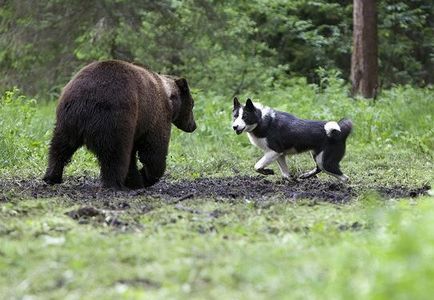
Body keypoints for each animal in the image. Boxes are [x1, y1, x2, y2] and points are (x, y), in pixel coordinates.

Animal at [42, 59, 197, 190]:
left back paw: (52, 176)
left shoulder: (138, 126)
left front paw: (136, 180)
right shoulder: (155, 117)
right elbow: (153, 151)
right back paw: (114, 184)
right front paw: (145, 177)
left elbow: (134, 155)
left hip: (67, 118)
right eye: (192, 104)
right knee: (115, 152)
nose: (193, 126)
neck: (170, 100)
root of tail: (84, 99)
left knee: (60, 146)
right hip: (115, 116)